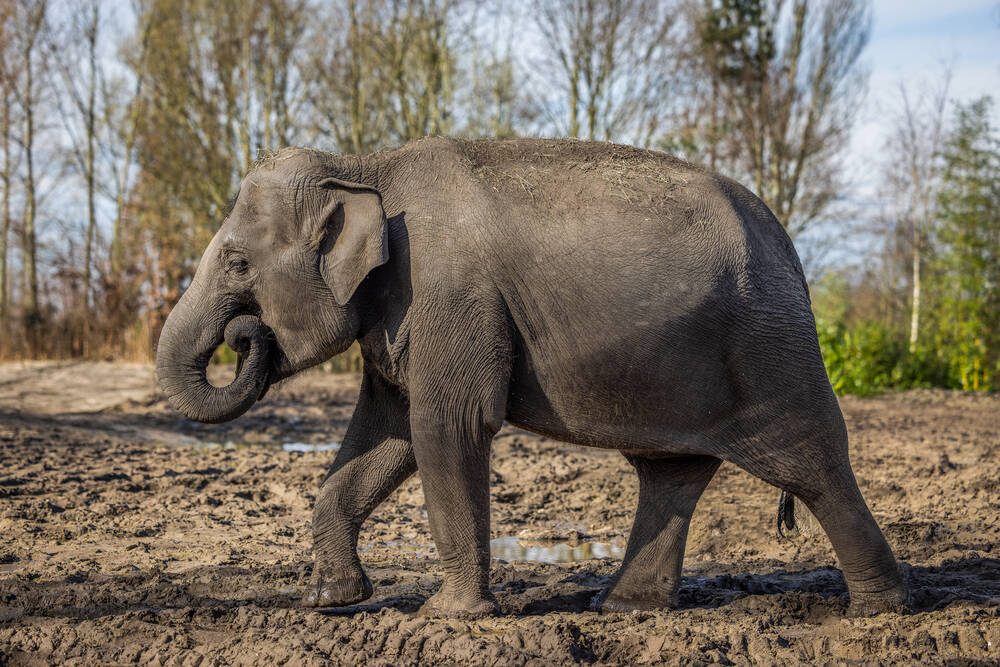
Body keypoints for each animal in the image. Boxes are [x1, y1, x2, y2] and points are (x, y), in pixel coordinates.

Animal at [155, 137, 908, 618]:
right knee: (671, 471)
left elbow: (443, 428)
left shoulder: (448, 294)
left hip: (769, 348)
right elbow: (384, 436)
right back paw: (622, 608)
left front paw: (448, 617)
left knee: (810, 463)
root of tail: (792, 247)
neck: (364, 165)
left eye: (237, 263)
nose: (245, 335)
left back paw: (876, 612)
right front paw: (330, 602)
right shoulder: (400, 311)